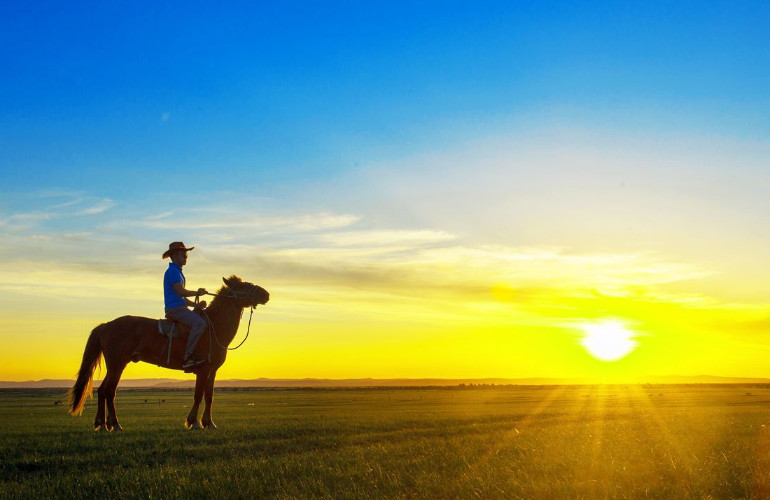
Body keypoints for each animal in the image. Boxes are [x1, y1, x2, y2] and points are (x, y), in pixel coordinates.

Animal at [67, 274, 270, 430]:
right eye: (243, 286)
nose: (266, 294)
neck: (214, 328)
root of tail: (107, 325)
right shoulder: (203, 371)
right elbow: (198, 395)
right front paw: (193, 423)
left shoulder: (212, 371)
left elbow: (209, 396)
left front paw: (209, 423)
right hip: (117, 365)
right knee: (108, 391)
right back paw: (113, 424)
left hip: (116, 366)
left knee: (103, 391)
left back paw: (103, 424)